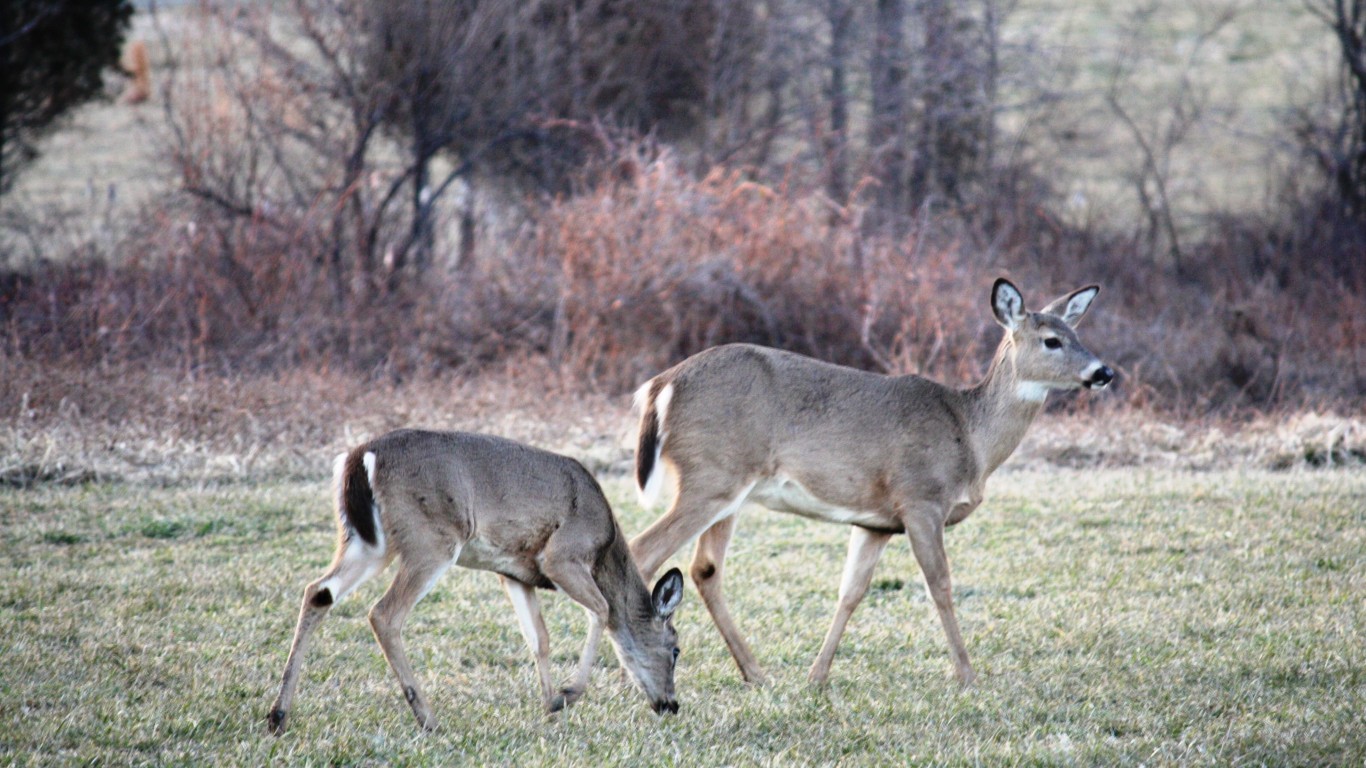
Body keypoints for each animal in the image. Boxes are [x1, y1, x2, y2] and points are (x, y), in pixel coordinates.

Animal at [267, 426, 688, 732]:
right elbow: (602, 608)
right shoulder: (561, 555)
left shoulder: (514, 573)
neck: (605, 548)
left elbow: (539, 638)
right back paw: (428, 719)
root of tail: (359, 457)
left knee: (318, 592)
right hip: (432, 538)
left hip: (368, 542)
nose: (671, 704)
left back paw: (278, 715)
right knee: (383, 613)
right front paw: (568, 693)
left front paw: (549, 701)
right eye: (676, 649)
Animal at [625, 277, 1109, 683]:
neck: (971, 436)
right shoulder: (920, 499)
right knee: (642, 550)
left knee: (705, 569)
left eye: (1078, 335)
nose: (1102, 372)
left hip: (728, 489)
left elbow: (851, 592)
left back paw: (757, 673)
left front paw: (817, 676)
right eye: (1051, 341)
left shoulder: (875, 522)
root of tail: (661, 385)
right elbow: (940, 585)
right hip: (711, 477)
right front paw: (968, 675)